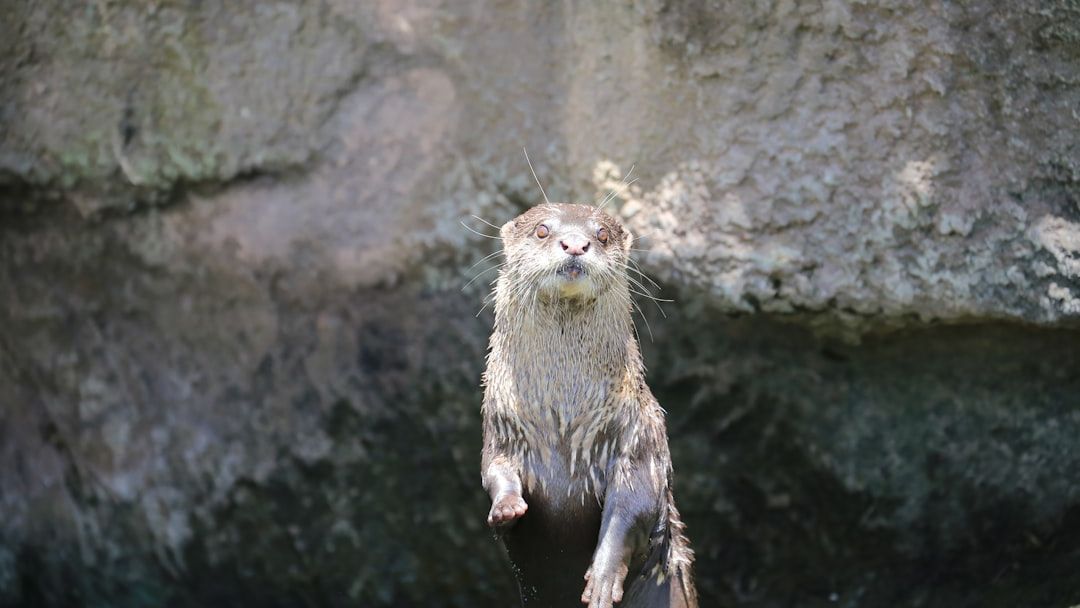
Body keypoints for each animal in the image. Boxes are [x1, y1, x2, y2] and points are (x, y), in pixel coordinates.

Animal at [480, 203, 697, 608]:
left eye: (602, 234)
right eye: (542, 230)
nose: (575, 244)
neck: (563, 423)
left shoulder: (638, 438)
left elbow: (632, 505)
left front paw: (602, 580)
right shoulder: (502, 427)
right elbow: (494, 469)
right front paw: (506, 507)